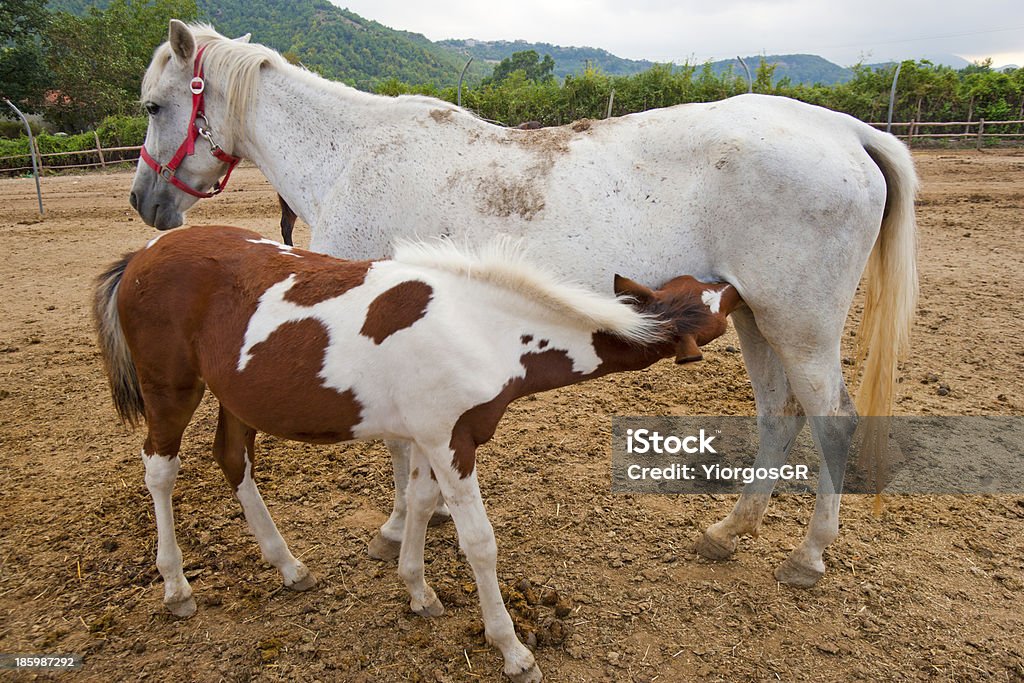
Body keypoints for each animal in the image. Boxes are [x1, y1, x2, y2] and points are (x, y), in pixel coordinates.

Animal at [94, 225, 737, 683]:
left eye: (708, 292)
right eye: (716, 309)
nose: (734, 283)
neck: (483, 327)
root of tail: (144, 253)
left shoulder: (437, 437)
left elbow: (421, 503)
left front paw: (418, 591)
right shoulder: (450, 442)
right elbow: (478, 542)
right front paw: (512, 649)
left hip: (236, 396)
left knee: (233, 460)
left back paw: (289, 567)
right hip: (170, 388)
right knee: (160, 470)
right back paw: (177, 587)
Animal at [130, 20, 921, 589]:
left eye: (154, 106)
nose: (144, 201)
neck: (350, 156)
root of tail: (847, 130)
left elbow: (396, 447)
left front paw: (397, 531)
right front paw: (425, 521)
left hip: (800, 324)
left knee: (832, 422)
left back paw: (808, 557)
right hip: (758, 317)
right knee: (778, 416)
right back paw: (729, 531)